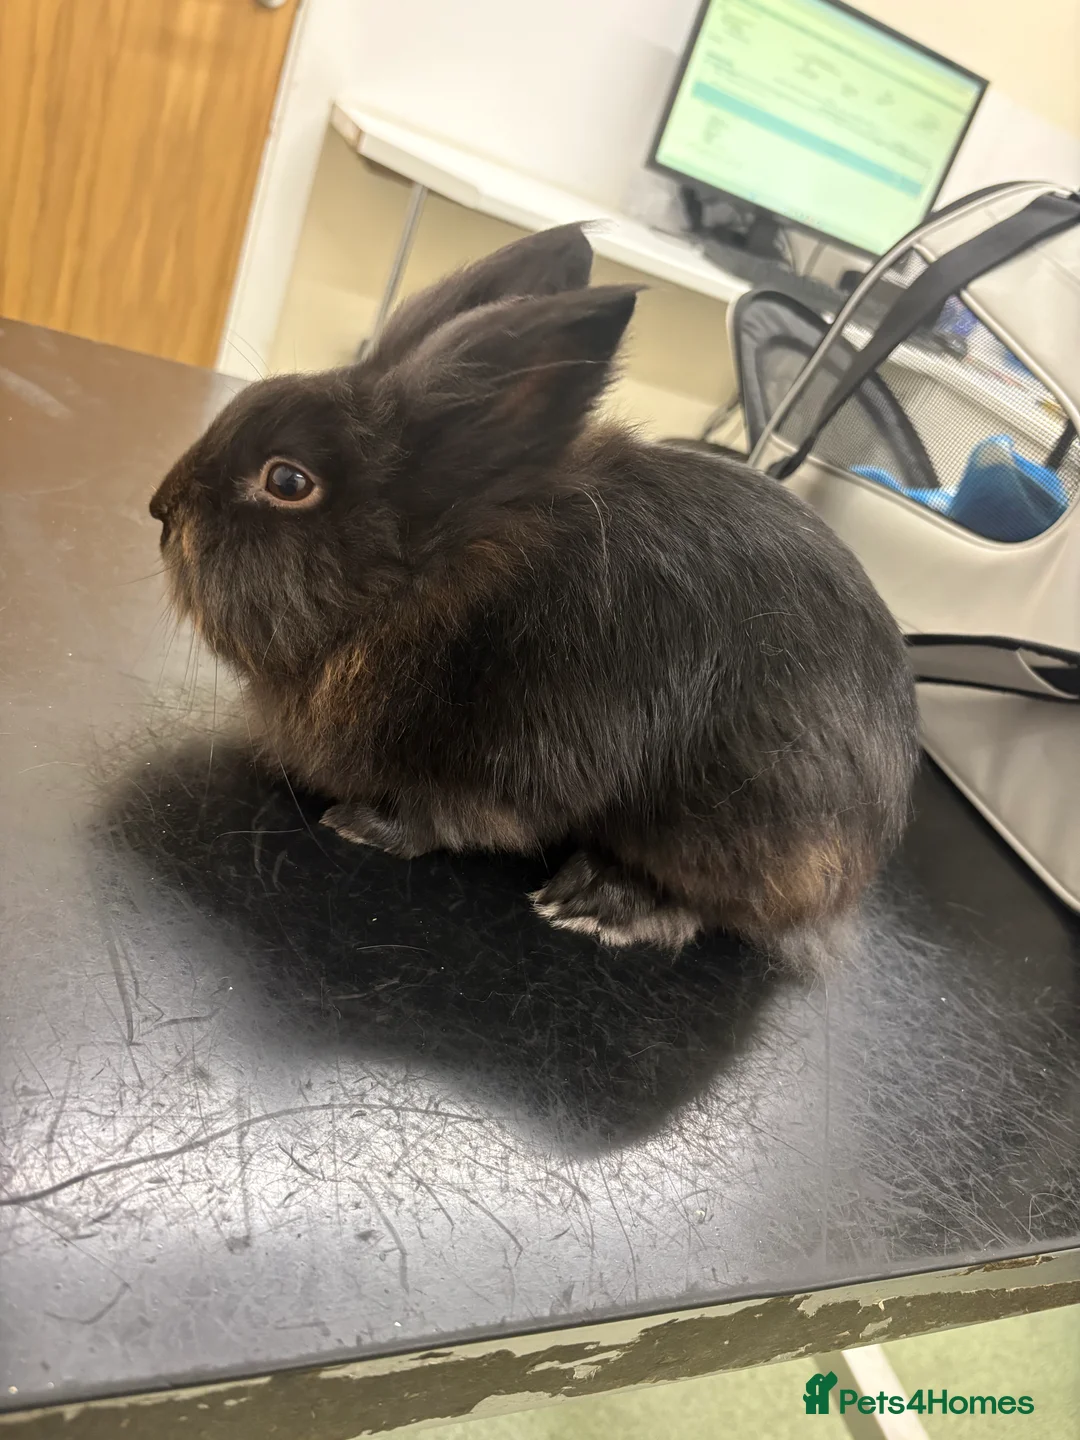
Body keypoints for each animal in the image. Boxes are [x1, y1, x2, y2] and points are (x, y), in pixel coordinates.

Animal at [150, 222, 919, 972]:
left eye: (287, 481)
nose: (161, 509)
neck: (424, 581)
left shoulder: (515, 756)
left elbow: (446, 816)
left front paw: (362, 824)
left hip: (731, 818)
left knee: (711, 907)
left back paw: (596, 900)